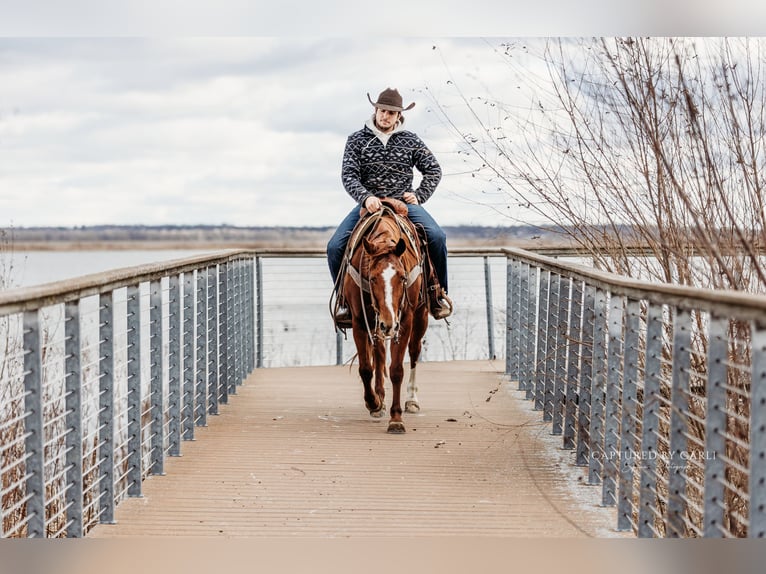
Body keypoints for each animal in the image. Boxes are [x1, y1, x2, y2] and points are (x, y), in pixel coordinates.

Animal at [344, 205, 428, 434]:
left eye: (402, 277)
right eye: (372, 278)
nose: (389, 323)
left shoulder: (405, 320)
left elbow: (397, 369)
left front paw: (396, 418)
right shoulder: (359, 321)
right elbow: (366, 368)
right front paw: (373, 403)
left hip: (420, 316)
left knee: (414, 351)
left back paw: (412, 399)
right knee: (379, 352)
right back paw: (379, 397)